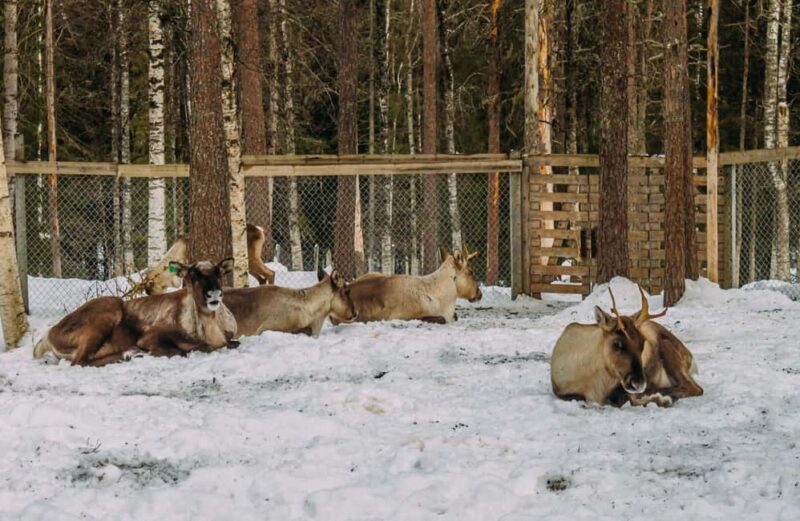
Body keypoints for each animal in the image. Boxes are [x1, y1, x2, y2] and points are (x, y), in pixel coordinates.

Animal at [33, 259, 238, 367]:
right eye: (194, 274)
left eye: (218, 272)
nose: (214, 293)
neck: (210, 329)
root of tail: (48, 336)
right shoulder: (150, 336)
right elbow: (181, 350)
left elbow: (233, 343)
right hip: (109, 308)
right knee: (80, 361)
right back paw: (131, 353)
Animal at [550, 286, 702, 407]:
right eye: (617, 343)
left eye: (643, 343)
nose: (639, 383)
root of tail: (691, 357)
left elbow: (624, 398)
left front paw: (661, 399)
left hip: (668, 349)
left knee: (695, 388)